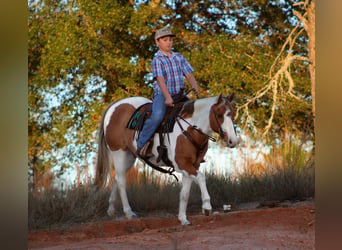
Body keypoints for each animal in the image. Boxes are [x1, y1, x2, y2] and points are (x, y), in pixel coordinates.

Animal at [93, 94, 238, 226]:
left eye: (232, 115)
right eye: (219, 115)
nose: (233, 141)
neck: (190, 129)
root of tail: (115, 106)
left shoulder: (192, 166)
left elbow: (185, 193)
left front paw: (183, 219)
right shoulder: (182, 164)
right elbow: (201, 177)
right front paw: (207, 207)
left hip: (129, 157)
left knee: (117, 178)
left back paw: (111, 209)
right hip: (119, 153)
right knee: (122, 181)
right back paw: (129, 212)